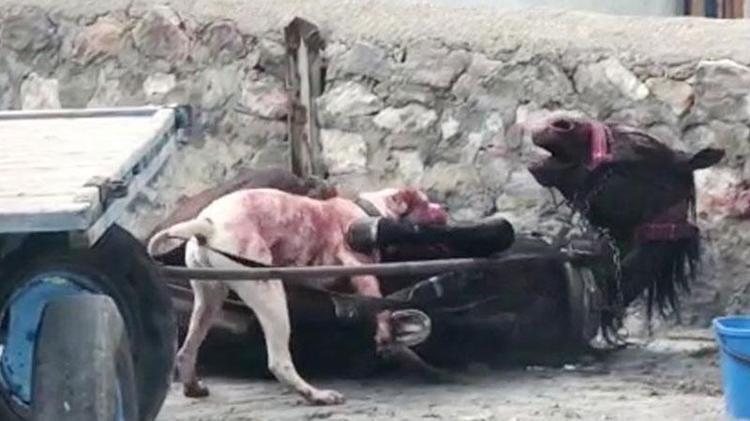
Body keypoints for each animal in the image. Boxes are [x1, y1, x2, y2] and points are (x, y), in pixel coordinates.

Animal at [148, 187, 448, 405]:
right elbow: (380, 307)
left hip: (208, 298)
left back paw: (193, 387)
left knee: (187, 350)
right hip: (267, 291)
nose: (444, 208)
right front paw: (389, 337)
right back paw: (316, 395)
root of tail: (206, 225)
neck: (370, 211)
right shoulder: (362, 271)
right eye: (425, 202)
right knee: (279, 361)